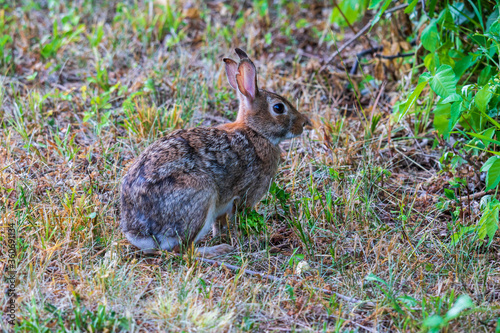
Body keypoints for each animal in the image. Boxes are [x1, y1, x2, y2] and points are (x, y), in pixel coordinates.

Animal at [120, 48, 308, 256]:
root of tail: (140, 232)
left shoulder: (223, 207)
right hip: (201, 196)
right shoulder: (247, 195)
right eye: (278, 108)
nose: (303, 123)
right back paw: (218, 250)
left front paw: (222, 235)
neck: (255, 132)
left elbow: (221, 224)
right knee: (183, 250)